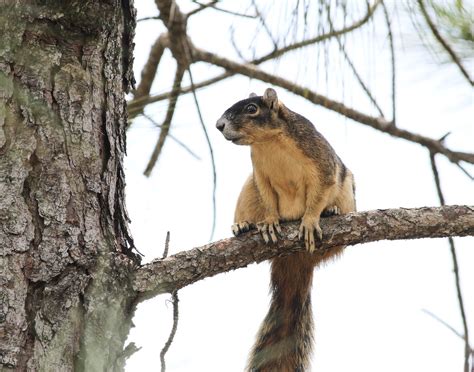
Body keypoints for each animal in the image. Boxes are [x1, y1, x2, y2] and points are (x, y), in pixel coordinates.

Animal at [216, 88, 356, 370]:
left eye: (251, 109)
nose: (219, 125)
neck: (268, 143)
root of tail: (296, 260)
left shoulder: (320, 159)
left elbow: (320, 189)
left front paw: (311, 220)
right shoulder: (260, 176)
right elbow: (268, 198)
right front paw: (270, 221)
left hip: (347, 191)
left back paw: (331, 212)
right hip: (247, 190)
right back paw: (243, 226)